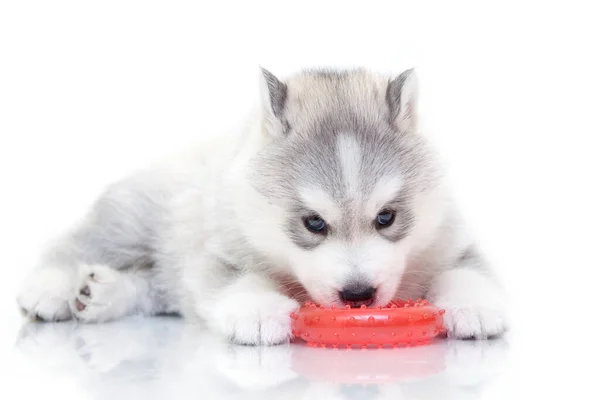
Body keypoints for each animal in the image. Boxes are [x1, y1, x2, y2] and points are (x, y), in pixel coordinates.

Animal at [16, 68, 506, 344]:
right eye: (313, 223)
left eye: (387, 217)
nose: (358, 295)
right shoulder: (219, 251)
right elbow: (237, 279)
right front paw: (258, 313)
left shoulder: (452, 242)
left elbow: (467, 273)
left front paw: (477, 307)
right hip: (132, 219)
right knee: (80, 243)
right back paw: (52, 288)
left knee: (157, 288)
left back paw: (100, 295)